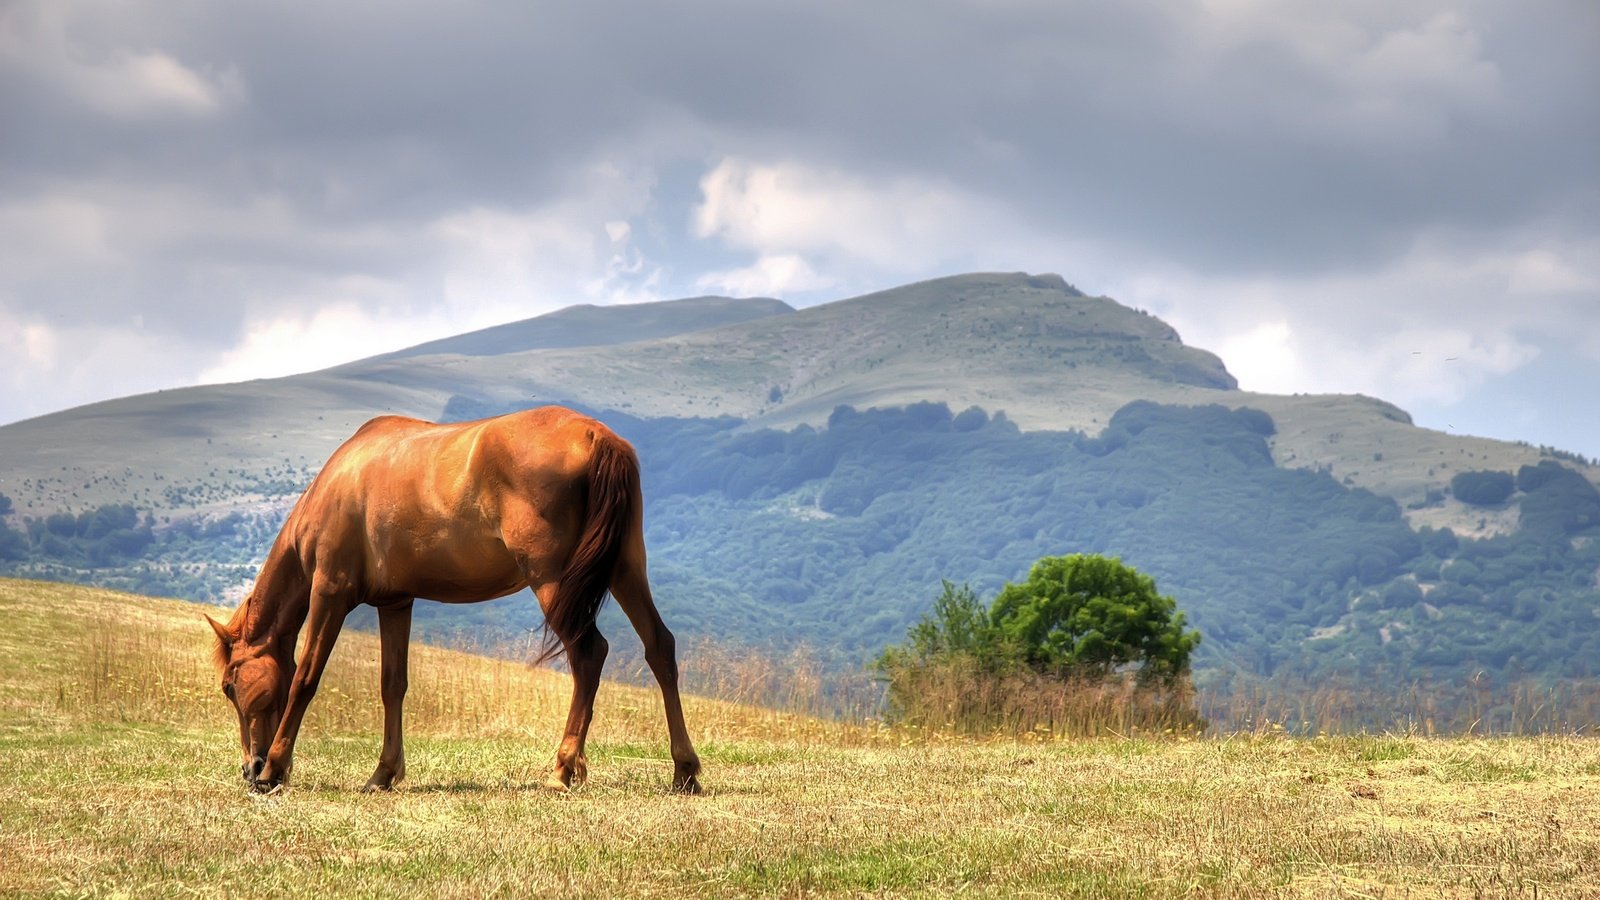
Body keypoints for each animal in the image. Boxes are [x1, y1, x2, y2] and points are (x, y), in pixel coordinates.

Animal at [204, 406, 700, 791]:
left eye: (230, 685)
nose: (248, 767)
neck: (337, 487)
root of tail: (597, 436)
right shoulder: (396, 603)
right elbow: (393, 685)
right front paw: (383, 773)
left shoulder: (330, 593)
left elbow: (305, 679)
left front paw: (275, 769)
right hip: (625, 571)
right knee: (659, 647)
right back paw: (685, 770)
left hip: (553, 582)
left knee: (589, 654)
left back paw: (562, 769)